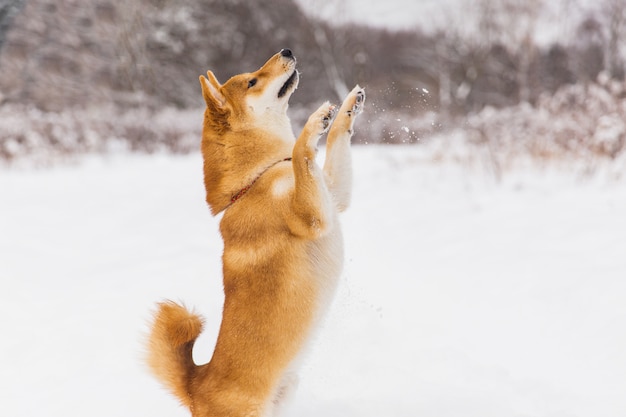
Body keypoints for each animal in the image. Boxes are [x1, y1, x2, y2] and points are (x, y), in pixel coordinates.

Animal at [147, 48, 364, 416]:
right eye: (252, 81)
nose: (287, 50)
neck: (256, 178)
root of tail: (195, 388)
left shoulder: (334, 197)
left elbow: (335, 139)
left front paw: (348, 104)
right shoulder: (313, 217)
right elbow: (303, 150)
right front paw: (315, 120)